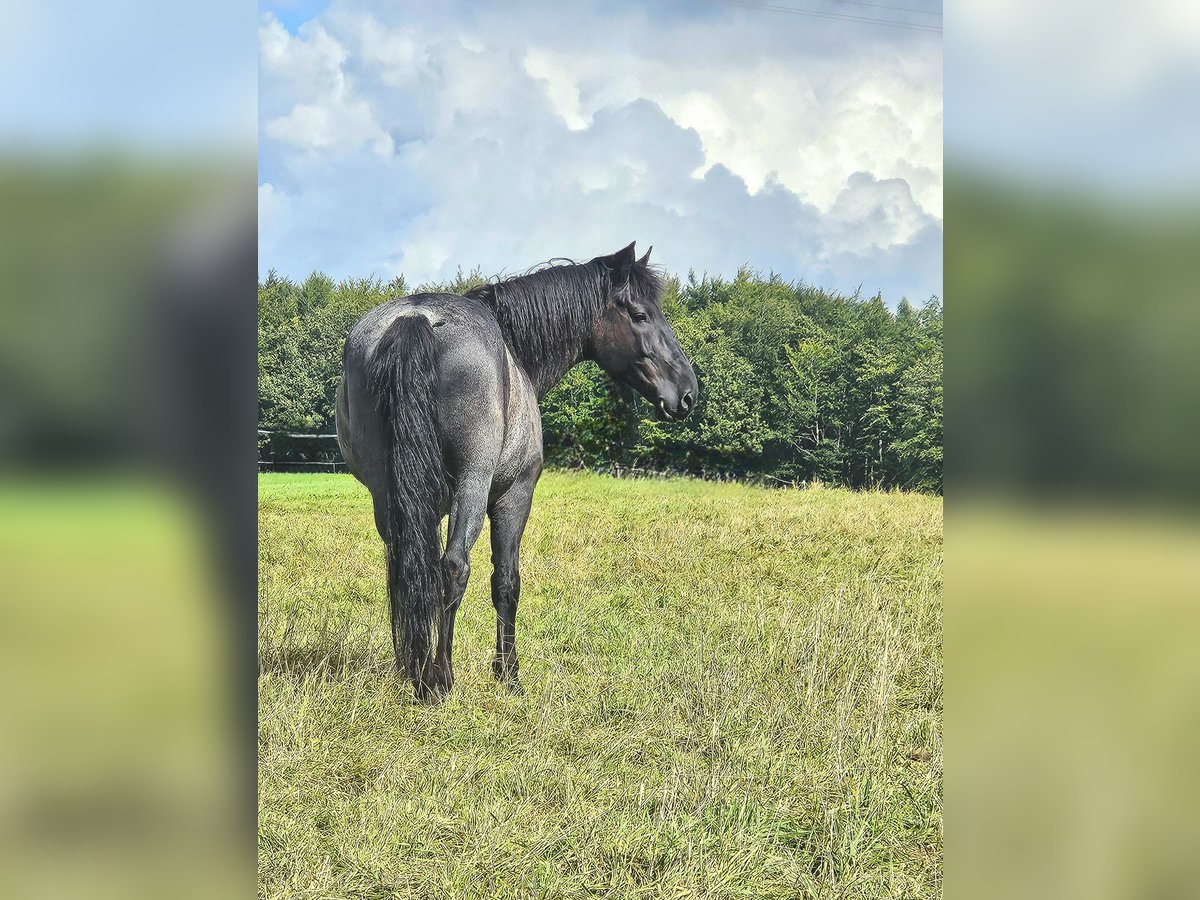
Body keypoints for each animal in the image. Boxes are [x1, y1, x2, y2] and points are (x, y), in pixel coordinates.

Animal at [333, 241, 700, 705]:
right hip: (473, 485)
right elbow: (506, 582)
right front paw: (508, 674)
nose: (687, 393)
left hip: (387, 492)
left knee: (405, 569)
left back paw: (413, 672)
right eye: (640, 316)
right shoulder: (514, 496)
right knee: (453, 567)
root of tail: (415, 319)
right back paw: (439, 680)